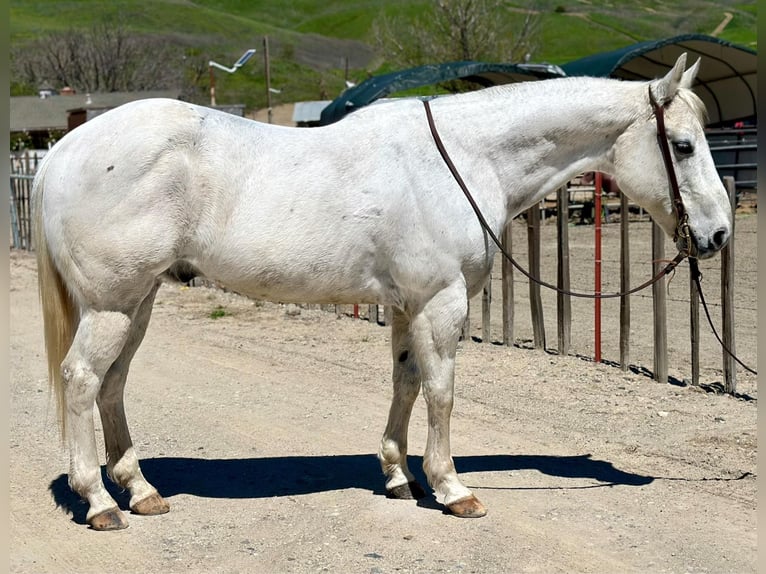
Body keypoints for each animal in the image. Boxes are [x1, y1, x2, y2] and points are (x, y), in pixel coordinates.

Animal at [34, 54, 732, 532]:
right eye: (682, 145)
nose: (719, 234)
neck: (463, 158)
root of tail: (63, 150)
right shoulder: (441, 302)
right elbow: (442, 391)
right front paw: (452, 489)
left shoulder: (407, 305)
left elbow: (406, 383)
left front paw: (398, 476)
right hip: (113, 304)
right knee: (81, 381)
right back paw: (99, 501)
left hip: (139, 301)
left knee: (113, 385)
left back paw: (140, 491)